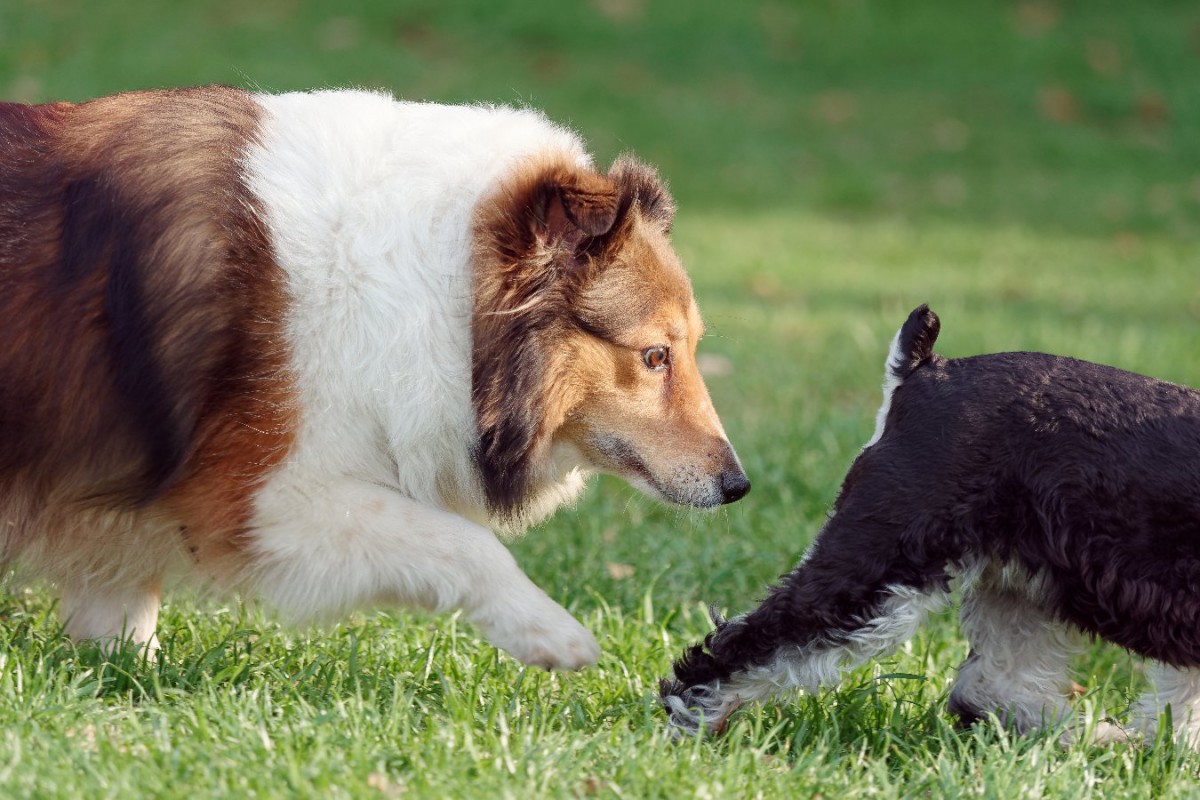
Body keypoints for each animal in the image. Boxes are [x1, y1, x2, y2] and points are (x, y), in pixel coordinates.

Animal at [0, 84, 744, 666]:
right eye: (655, 356)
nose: (736, 485)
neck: (442, 289)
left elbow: (119, 604)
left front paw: (129, 675)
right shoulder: (259, 499)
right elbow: (464, 544)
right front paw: (553, 634)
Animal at [662, 303, 1200, 748]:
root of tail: (923, 369)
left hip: (1018, 584)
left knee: (989, 687)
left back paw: (1097, 741)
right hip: (877, 570)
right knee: (739, 648)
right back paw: (691, 730)